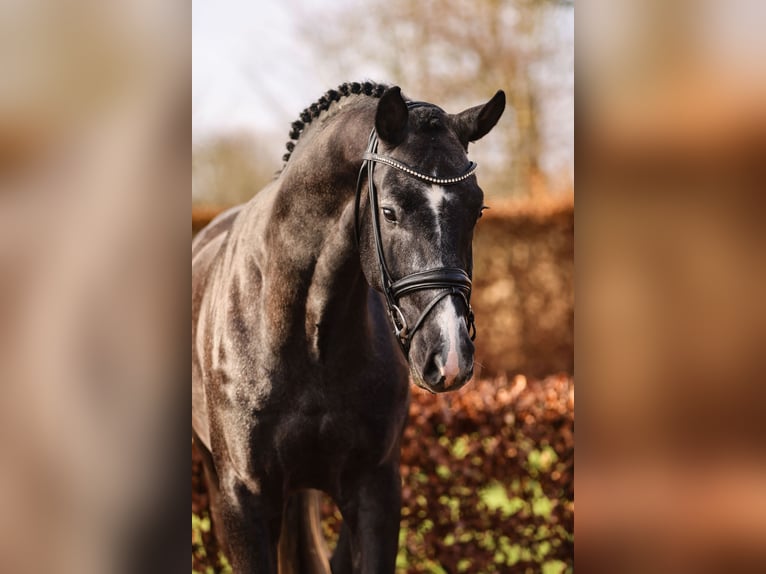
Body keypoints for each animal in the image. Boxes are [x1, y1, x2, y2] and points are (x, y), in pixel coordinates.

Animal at [192, 81, 505, 573]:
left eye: (478, 209)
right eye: (390, 212)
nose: (450, 357)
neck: (307, 339)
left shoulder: (375, 490)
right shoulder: (243, 501)